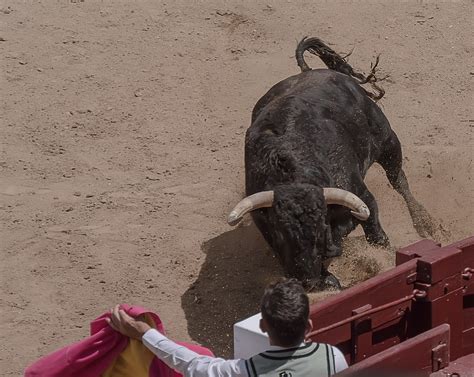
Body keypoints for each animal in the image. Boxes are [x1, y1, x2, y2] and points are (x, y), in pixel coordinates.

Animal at [228, 38, 436, 290]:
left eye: (320, 229)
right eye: (279, 233)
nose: (307, 280)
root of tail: (309, 72)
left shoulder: (363, 198)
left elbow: (376, 236)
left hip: (388, 141)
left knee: (399, 181)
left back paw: (425, 222)